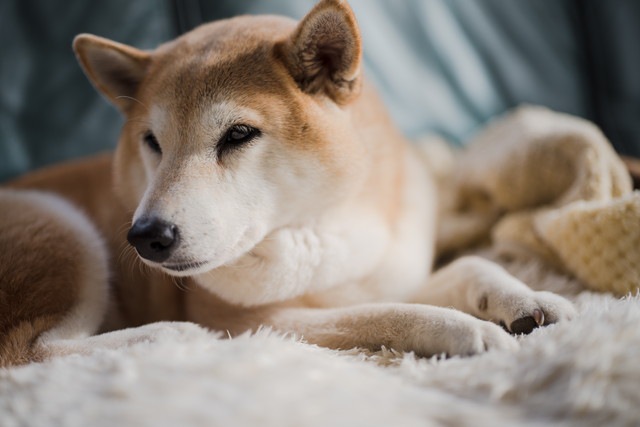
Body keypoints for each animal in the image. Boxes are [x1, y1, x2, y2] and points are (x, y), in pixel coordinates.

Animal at [1, 0, 576, 368]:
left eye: (238, 134)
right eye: (151, 141)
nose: (145, 236)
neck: (323, 223)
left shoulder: (383, 272)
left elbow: (467, 265)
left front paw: (525, 298)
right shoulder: (263, 319)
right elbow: (385, 313)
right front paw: (466, 329)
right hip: (62, 228)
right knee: (29, 351)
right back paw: (169, 335)